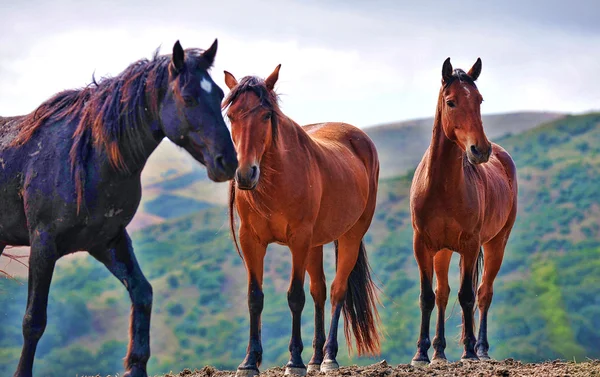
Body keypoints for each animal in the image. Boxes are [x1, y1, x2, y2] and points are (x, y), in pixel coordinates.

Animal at [0, 39, 239, 376]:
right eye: (189, 97)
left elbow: (142, 292)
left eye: (219, 94)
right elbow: (33, 320)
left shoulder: (107, 240)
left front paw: (135, 366)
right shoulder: (43, 243)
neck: (88, 158)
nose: (228, 162)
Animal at [223, 65, 382, 376]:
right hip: (315, 244)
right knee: (319, 291)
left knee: (337, 291)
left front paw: (294, 361)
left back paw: (329, 357)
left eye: (266, 115)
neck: (276, 180)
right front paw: (249, 361)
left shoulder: (298, 240)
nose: (245, 173)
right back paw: (316, 358)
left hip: (349, 235)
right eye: (231, 116)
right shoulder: (251, 241)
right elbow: (255, 297)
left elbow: (295, 297)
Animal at [410, 58, 516, 364]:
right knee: (442, 294)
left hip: (496, 243)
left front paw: (468, 351)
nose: (480, 150)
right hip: (443, 251)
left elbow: (467, 295)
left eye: (479, 100)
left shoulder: (470, 245)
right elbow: (428, 296)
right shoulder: (423, 245)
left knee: (484, 293)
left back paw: (481, 349)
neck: (441, 187)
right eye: (451, 101)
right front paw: (422, 353)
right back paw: (439, 351)